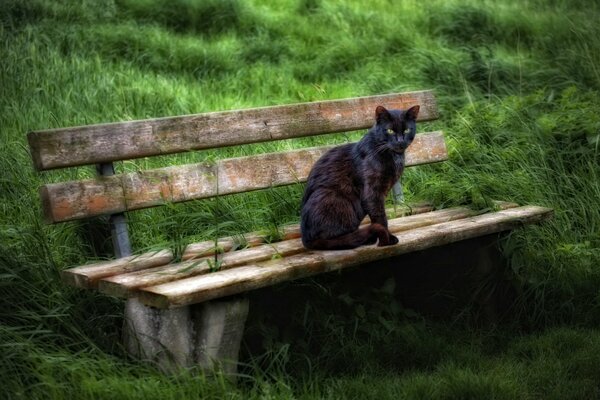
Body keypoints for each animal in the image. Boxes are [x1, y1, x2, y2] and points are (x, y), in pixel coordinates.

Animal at [300, 106, 422, 250]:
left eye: (407, 130)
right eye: (390, 130)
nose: (400, 141)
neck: (394, 156)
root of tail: (306, 240)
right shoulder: (372, 193)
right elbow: (381, 218)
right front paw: (387, 239)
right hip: (331, 197)